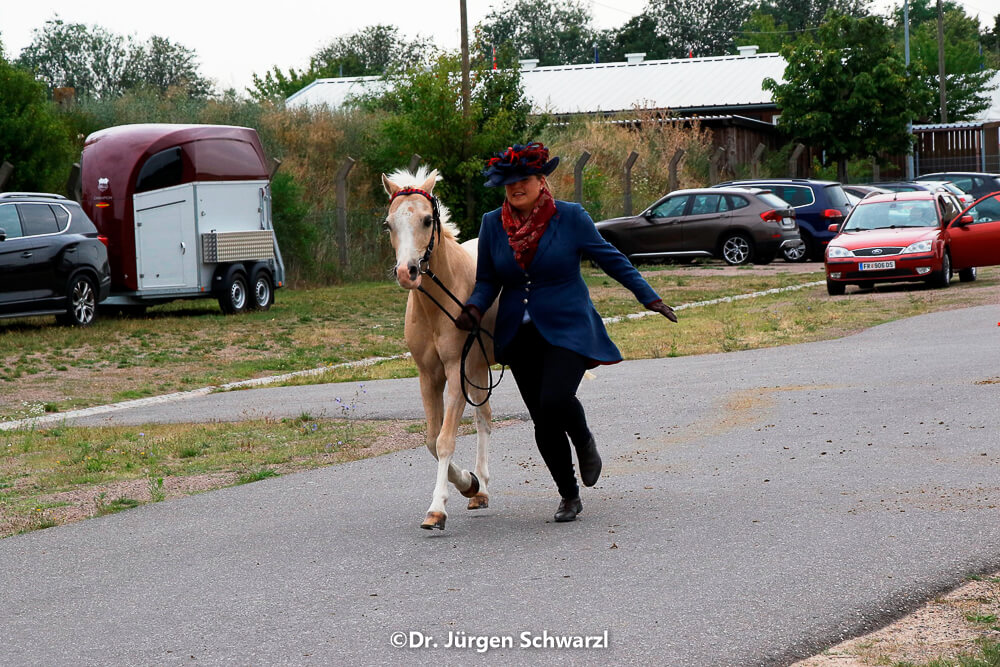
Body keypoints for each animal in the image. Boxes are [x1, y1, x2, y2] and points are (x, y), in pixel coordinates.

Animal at [381, 167, 497, 531]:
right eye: (388, 224)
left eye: (427, 220)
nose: (407, 272)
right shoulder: (429, 376)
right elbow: (432, 440)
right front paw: (468, 483)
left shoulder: (456, 370)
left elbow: (445, 441)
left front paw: (437, 509)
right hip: (478, 368)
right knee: (484, 418)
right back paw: (480, 490)